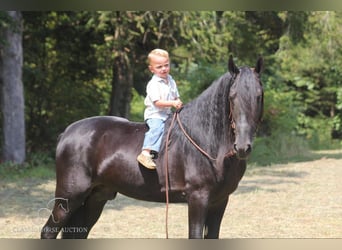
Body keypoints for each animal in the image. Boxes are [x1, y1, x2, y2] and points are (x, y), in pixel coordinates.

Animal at [40, 55, 264, 239]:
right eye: (232, 97)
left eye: (259, 96)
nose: (242, 147)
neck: (207, 141)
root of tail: (67, 133)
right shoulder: (198, 198)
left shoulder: (220, 201)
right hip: (69, 198)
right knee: (48, 232)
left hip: (96, 197)